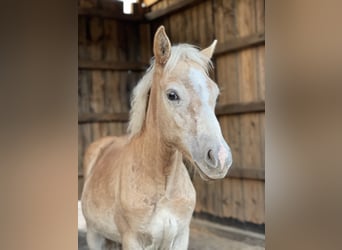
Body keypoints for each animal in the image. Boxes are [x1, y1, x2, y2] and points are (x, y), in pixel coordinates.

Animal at [81, 25, 234, 250]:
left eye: (215, 94)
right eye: (172, 95)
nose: (220, 158)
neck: (164, 189)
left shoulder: (180, 238)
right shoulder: (132, 240)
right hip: (94, 235)